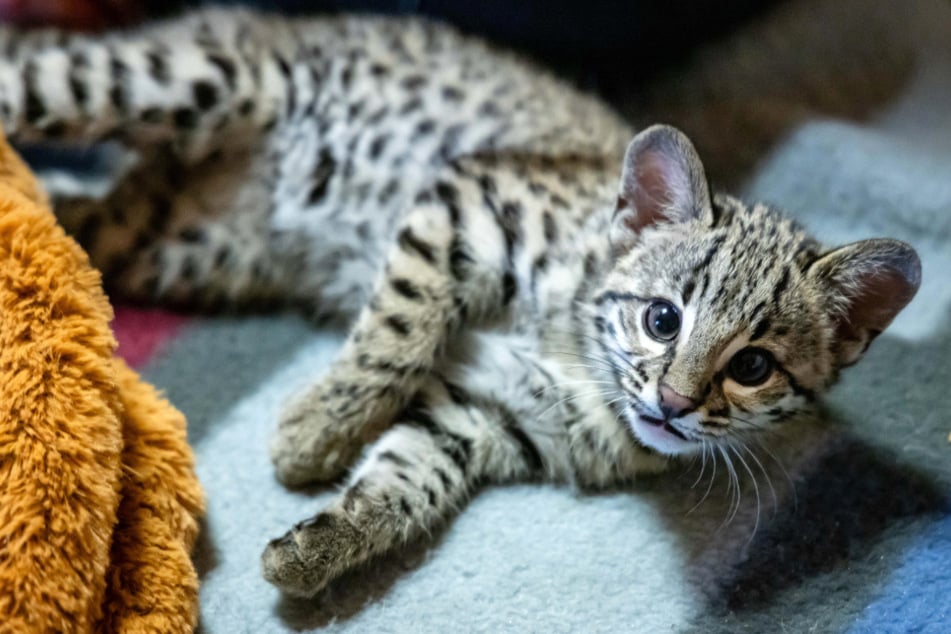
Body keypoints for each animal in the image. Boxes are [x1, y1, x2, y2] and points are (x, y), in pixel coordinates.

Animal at [0, 7, 924, 596]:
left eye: (753, 367)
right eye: (662, 319)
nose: (669, 403)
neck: (584, 367)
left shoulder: (483, 419)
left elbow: (407, 479)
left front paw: (318, 548)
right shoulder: (467, 205)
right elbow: (397, 334)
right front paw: (315, 432)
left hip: (175, 244)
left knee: (77, 219)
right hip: (188, 79)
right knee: (31, 76)